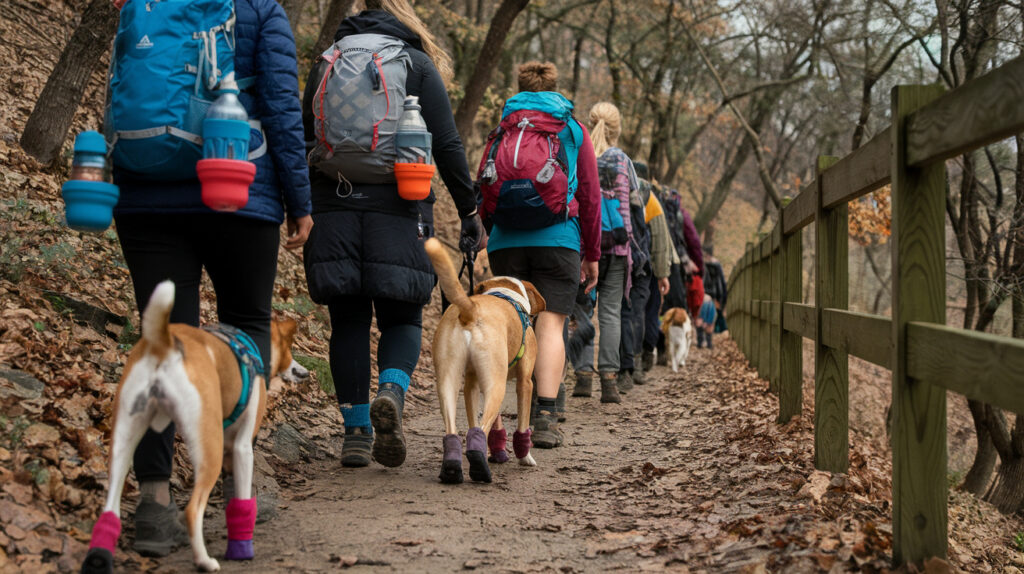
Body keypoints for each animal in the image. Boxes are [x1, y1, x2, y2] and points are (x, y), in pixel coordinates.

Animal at [82, 280, 307, 568]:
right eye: (290, 349)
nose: (303, 372)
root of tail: (164, 344)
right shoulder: (242, 448)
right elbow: (242, 497)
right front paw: (242, 546)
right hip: (209, 447)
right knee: (192, 510)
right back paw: (205, 561)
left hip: (123, 441)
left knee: (111, 507)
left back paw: (101, 556)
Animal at [423, 237, 548, 482]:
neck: (506, 294)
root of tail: (470, 310)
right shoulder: (525, 383)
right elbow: (522, 423)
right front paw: (524, 457)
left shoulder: (473, 383)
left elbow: (482, 420)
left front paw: (497, 452)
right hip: (497, 384)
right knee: (481, 426)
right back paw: (480, 467)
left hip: (448, 380)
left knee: (461, 428)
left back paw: (454, 467)